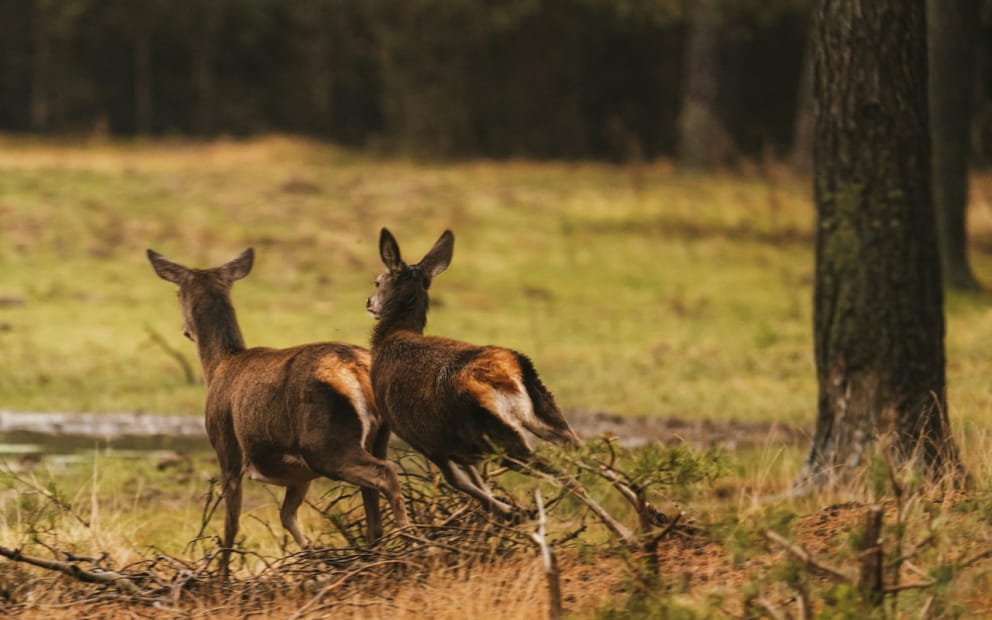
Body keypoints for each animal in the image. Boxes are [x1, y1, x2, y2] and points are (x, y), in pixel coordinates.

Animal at [148, 249, 410, 580]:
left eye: (178, 292)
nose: (185, 330)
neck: (219, 365)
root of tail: (357, 369)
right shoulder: (298, 476)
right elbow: (287, 515)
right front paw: (316, 559)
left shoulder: (225, 445)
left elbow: (232, 523)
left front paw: (221, 577)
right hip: (375, 438)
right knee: (372, 499)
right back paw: (376, 556)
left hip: (325, 442)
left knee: (385, 473)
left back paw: (413, 542)